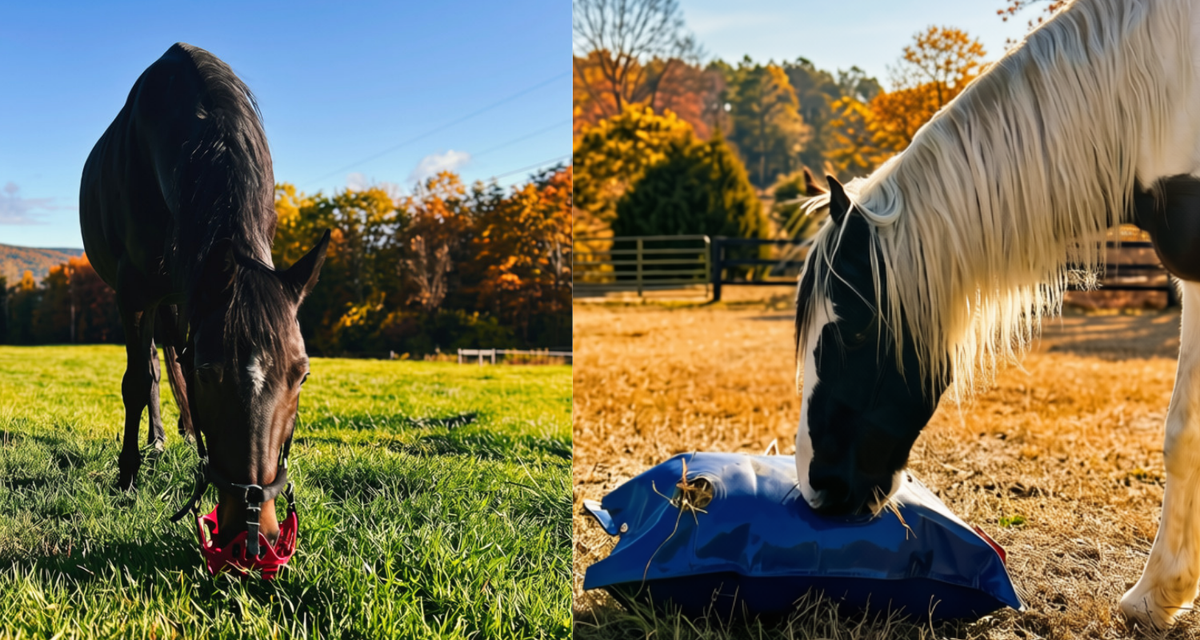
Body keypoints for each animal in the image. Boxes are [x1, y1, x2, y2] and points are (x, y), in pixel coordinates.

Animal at [80, 42, 329, 570]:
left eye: (301, 376)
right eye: (210, 373)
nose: (252, 536)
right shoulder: (133, 294)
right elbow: (138, 382)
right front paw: (126, 477)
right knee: (154, 369)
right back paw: (154, 443)